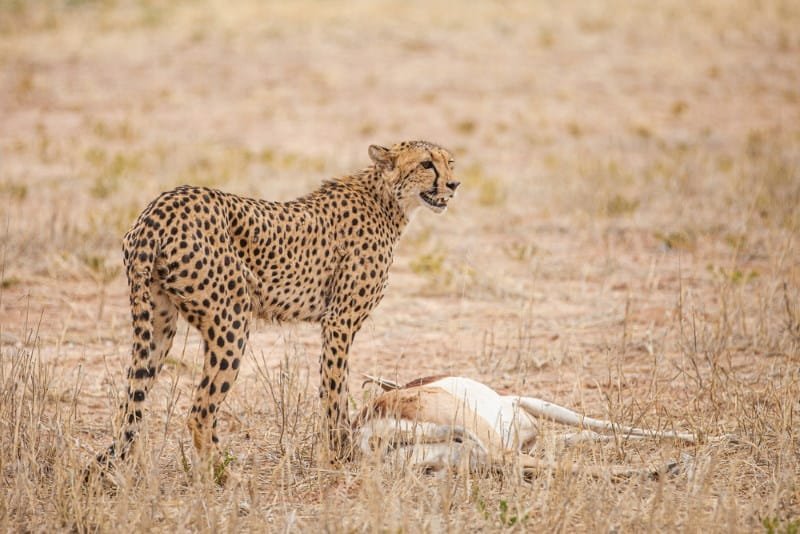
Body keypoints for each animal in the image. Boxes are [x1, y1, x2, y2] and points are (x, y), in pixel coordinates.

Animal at [97, 140, 459, 471]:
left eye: (449, 161)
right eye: (426, 164)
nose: (454, 185)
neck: (387, 200)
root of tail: (159, 206)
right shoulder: (339, 321)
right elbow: (335, 389)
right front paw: (337, 457)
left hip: (158, 324)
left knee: (129, 406)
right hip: (231, 320)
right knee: (200, 412)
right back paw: (226, 477)